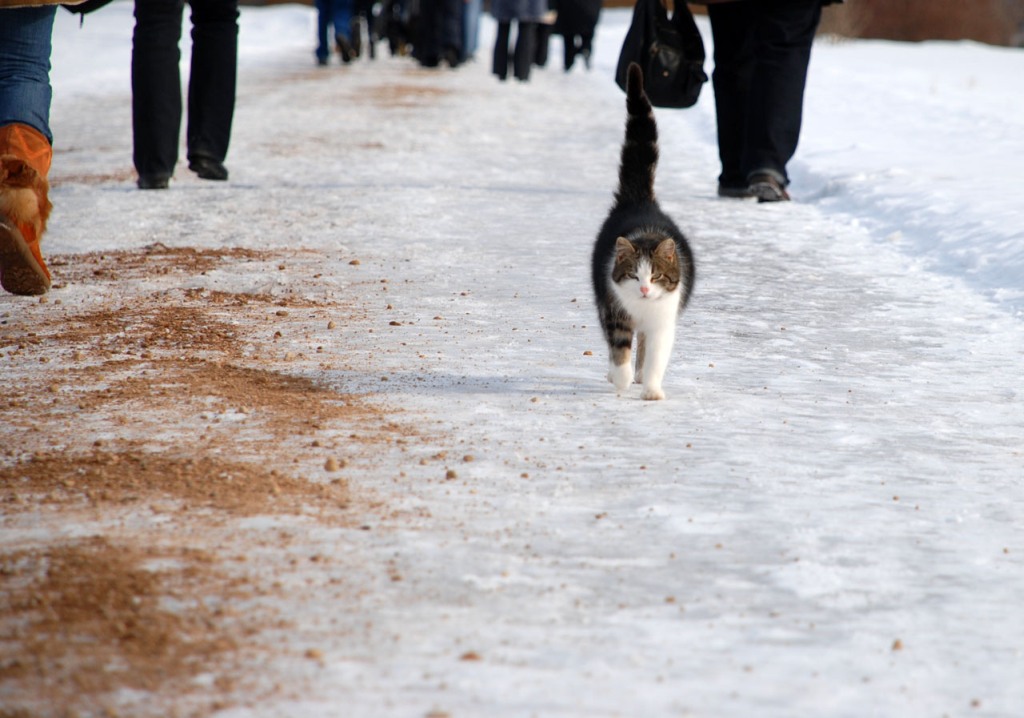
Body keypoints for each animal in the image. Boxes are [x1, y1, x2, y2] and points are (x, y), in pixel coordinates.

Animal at [593, 62, 696, 401]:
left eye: (656, 276)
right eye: (633, 276)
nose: (644, 290)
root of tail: (640, 200)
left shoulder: (665, 319)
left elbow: (656, 355)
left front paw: (651, 389)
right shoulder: (614, 308)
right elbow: (619, 347)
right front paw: (621, 378)